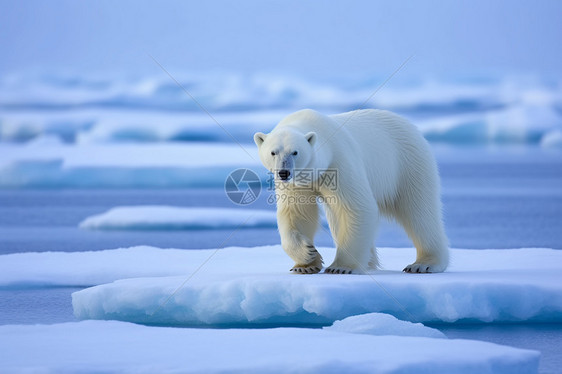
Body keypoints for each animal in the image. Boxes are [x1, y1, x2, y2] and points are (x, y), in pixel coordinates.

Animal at [253, 108, 446, 274]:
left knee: (419, 211)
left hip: (407, 164)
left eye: (295, 152)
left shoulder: (339, 161)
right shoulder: (298, 182)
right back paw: (369, 261)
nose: (284, 172)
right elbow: (296, 212)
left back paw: (424, 264)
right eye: (273, 152)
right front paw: (306, 260)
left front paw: (341, 267)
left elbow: (357, 207)